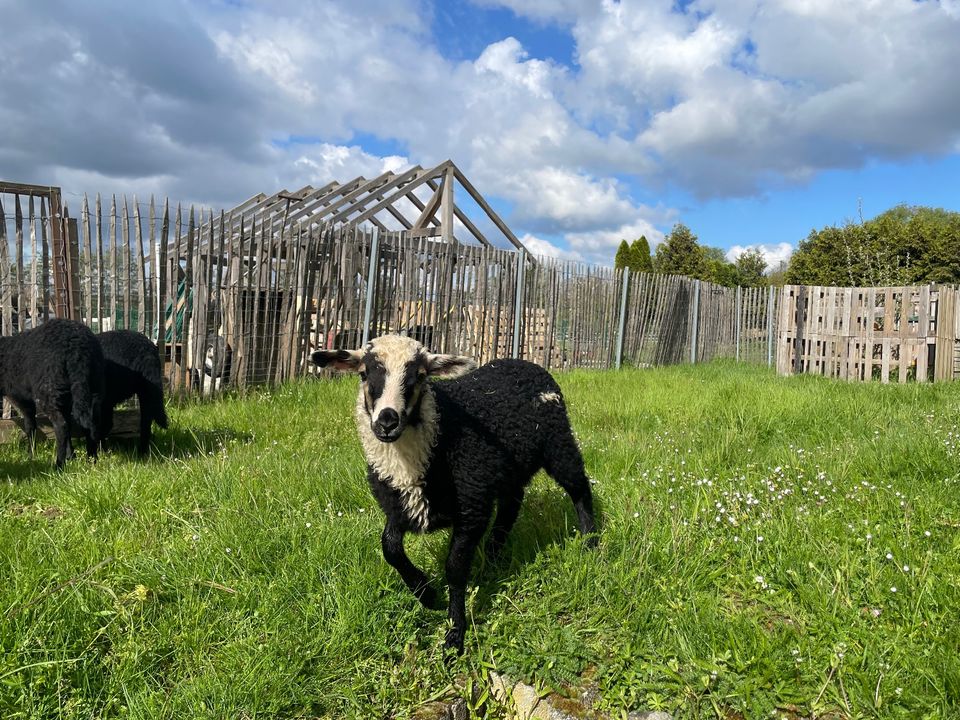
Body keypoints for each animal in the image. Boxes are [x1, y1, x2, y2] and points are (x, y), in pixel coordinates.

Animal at [0, 320, 105, 466]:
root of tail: (78, 347)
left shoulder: (22, 400)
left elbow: (30, 427)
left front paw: (31, 456)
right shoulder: (64, 400)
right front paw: (71, 456)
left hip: (48, 391)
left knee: (61, 426)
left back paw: (59, 465)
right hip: (90, 387)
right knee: (91, 422)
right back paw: (92, 461)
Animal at [312, 334, 596, 656]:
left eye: (420, 376)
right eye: (363, 374)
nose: (387, 421)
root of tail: (523, 362)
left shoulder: (471, 506)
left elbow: (455, 568)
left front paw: (454, 635)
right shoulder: (400, 506)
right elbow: (390, 548)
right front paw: (427, 594)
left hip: (558, 443)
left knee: (579, 488)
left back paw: (590, 542)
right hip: (508, 469)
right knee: (511, 505)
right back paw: (493, 556)